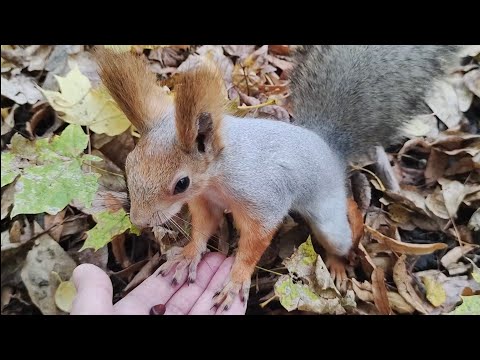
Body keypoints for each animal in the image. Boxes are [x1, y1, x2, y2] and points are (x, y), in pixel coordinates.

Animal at [94, 44, 462, 310]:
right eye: (129, 163)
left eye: (180, 183)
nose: (139, 221)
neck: (219, 176)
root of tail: (326, 146)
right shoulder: (205, 202)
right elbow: (202, 228)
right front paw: (187, 255)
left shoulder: (263, 199)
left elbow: (255, 241)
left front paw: (236, 279)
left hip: (329, 215)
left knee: (342, 225)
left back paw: (339, 263)